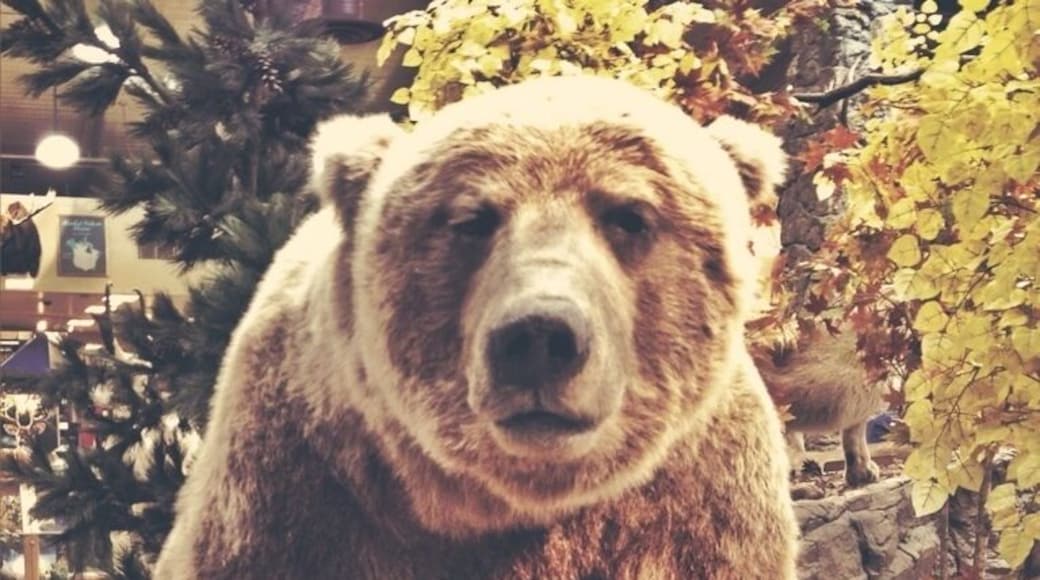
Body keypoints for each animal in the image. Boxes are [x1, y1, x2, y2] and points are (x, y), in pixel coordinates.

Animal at [153, 75, 799, 580]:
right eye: (471, 220)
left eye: (629, 216)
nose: (538, 337)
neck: (501, 505)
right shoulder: (304, 496)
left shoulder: (695, 508)